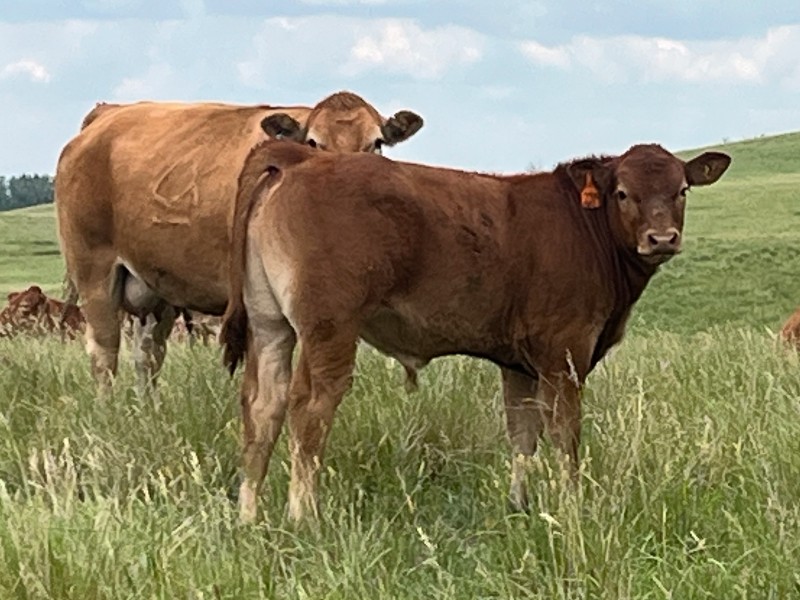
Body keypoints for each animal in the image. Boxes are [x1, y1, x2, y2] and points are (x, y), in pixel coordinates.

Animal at [55, 91, 424, 394]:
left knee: (147, 355)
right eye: (314, 143)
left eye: (376, 143)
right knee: (104, 354)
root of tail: (108, 114)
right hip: (94, 272)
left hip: (156, 287)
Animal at [220, 140, 731, 522]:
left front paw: (519, 507)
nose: (661, 238)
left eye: (683, 189)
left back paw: (249, 517)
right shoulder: (564, 352)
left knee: (263, 406)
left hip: (270, 324)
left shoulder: (520, 364)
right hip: (329, 328)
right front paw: (571, 506)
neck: (584, 229)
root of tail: (301, 158)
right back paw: (302, 517)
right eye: (623, 192)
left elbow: (522, 435)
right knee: (309, 407)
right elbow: (565, 435)